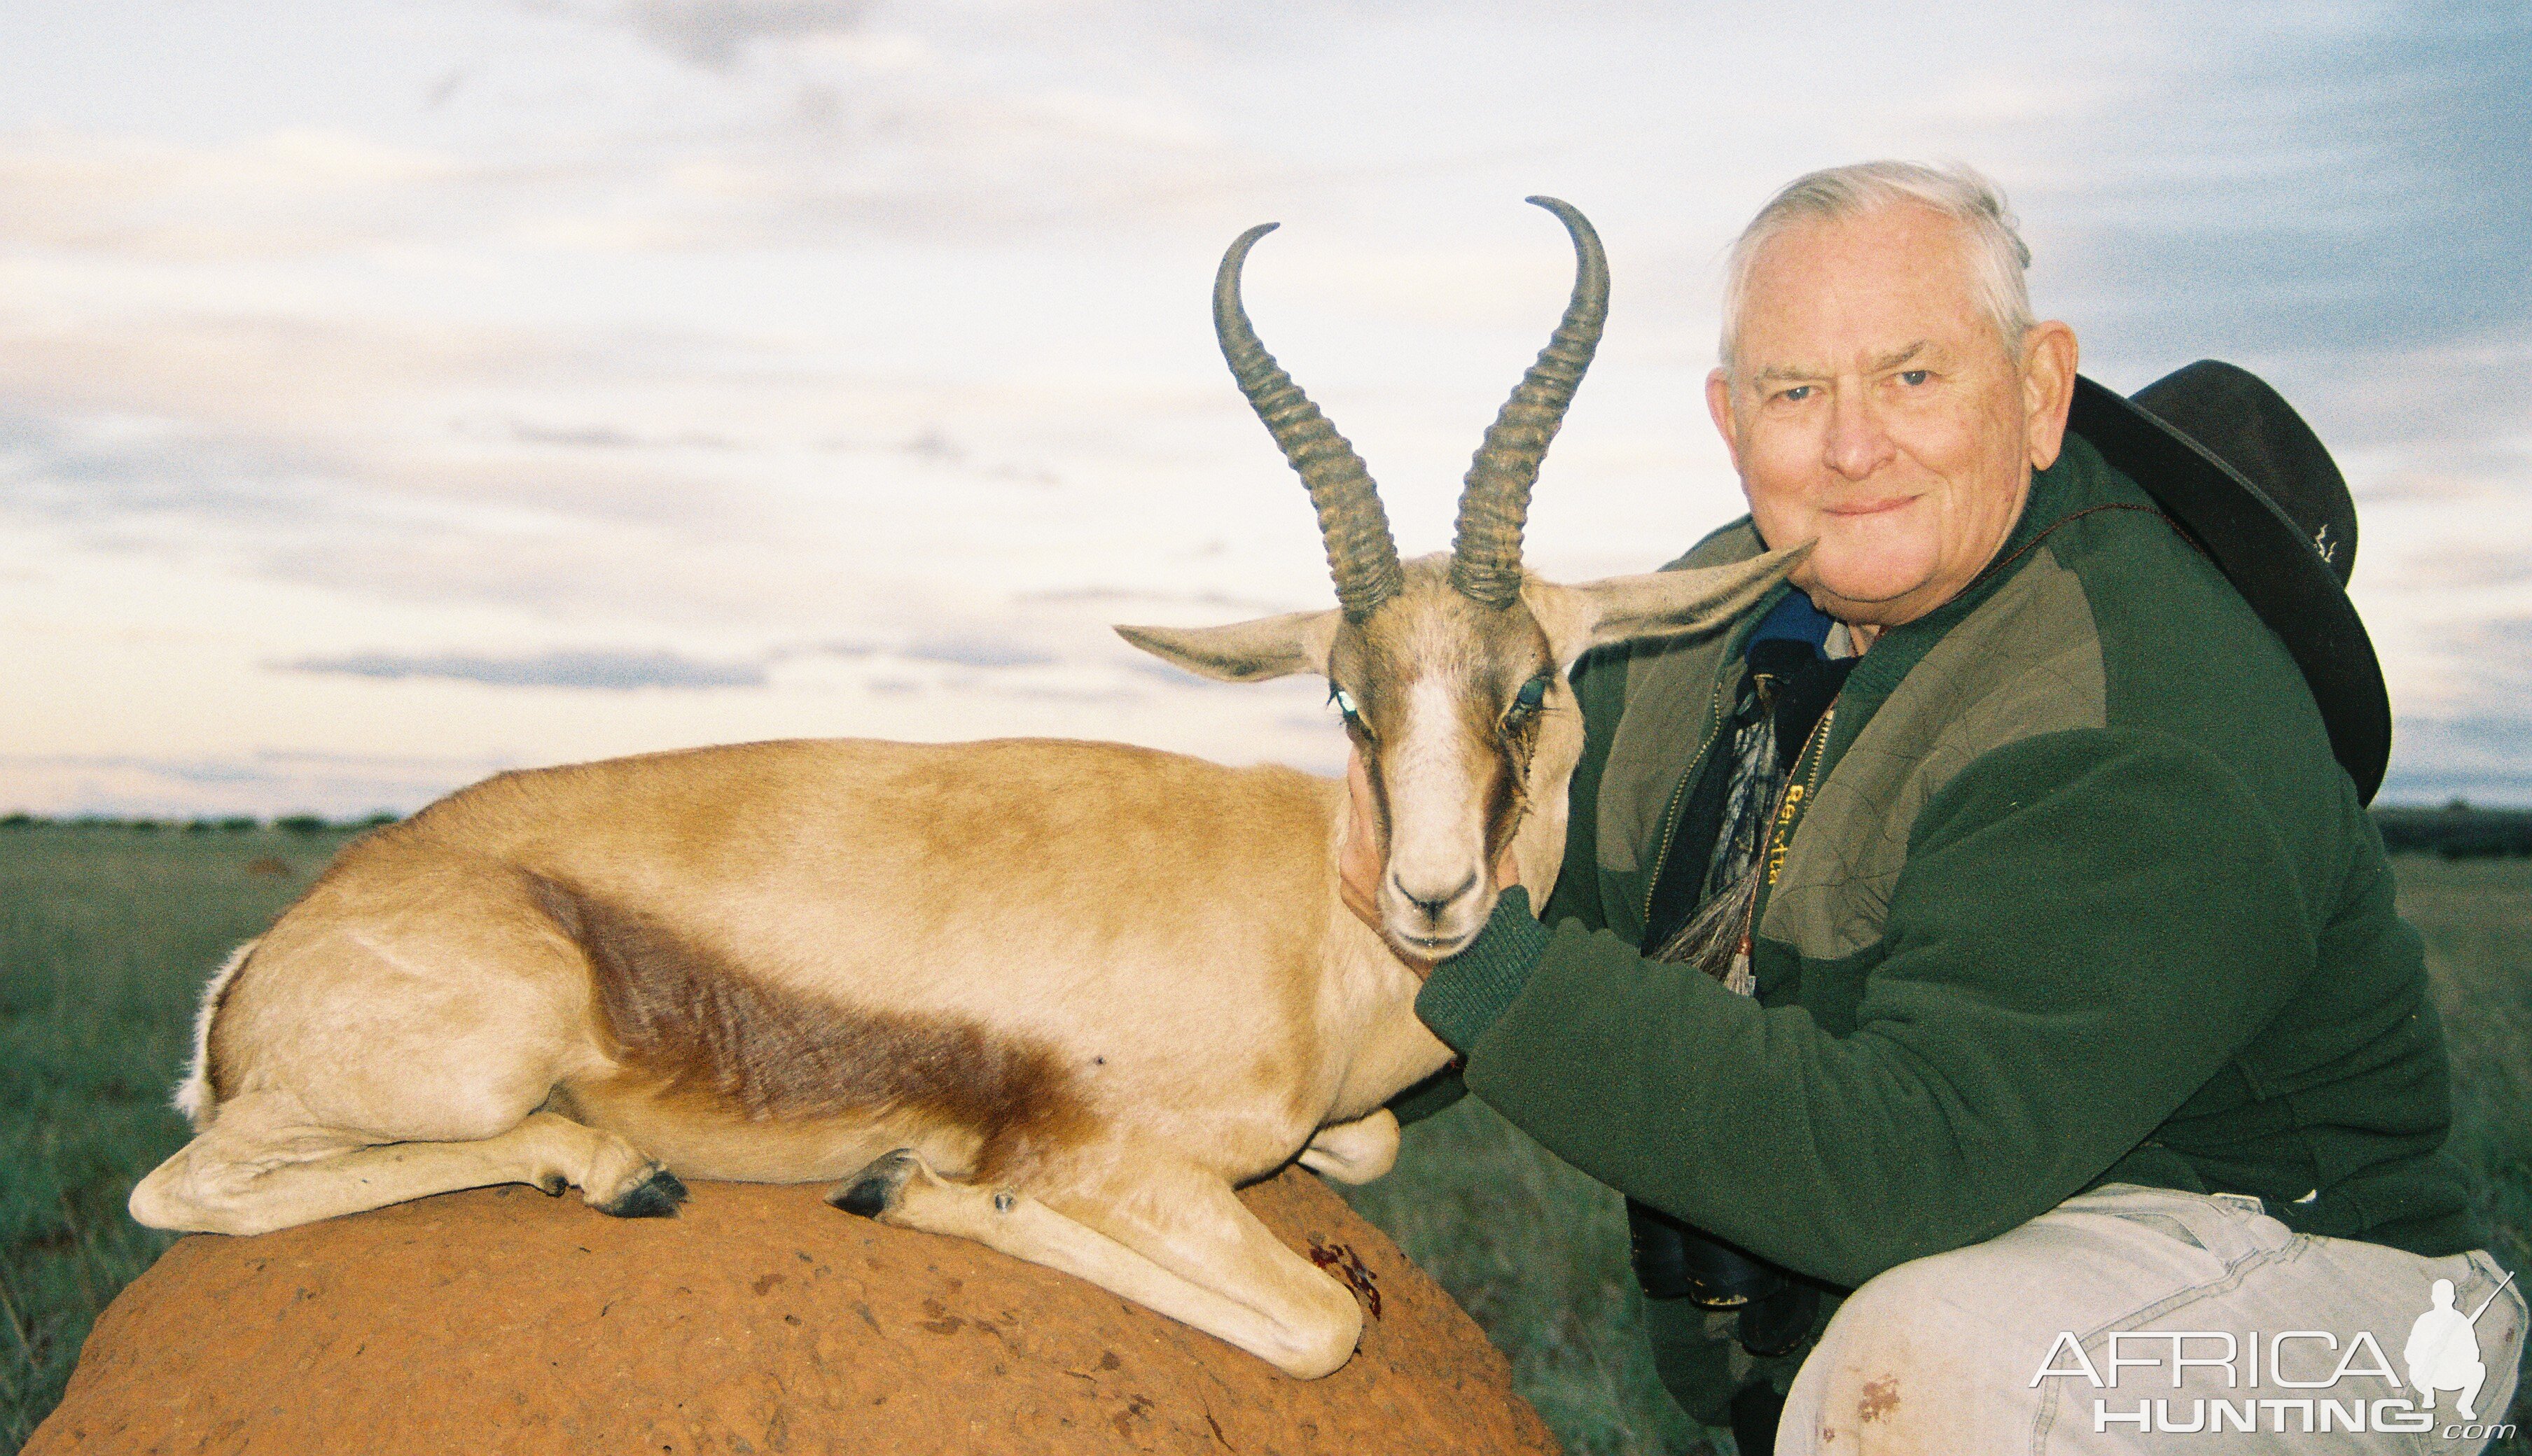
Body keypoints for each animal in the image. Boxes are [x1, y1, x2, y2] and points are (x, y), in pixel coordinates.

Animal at [133, 196, 1802, 1377]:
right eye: (1345, 695)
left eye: (1529, 687)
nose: (1436, 896)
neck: (1312, 939)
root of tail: (262, 962)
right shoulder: (1125, 1162)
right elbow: (1322, 1322)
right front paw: (922, 1188)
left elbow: (1367, 1151)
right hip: (480, 1054)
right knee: (181, 1189)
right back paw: (613, 1170)